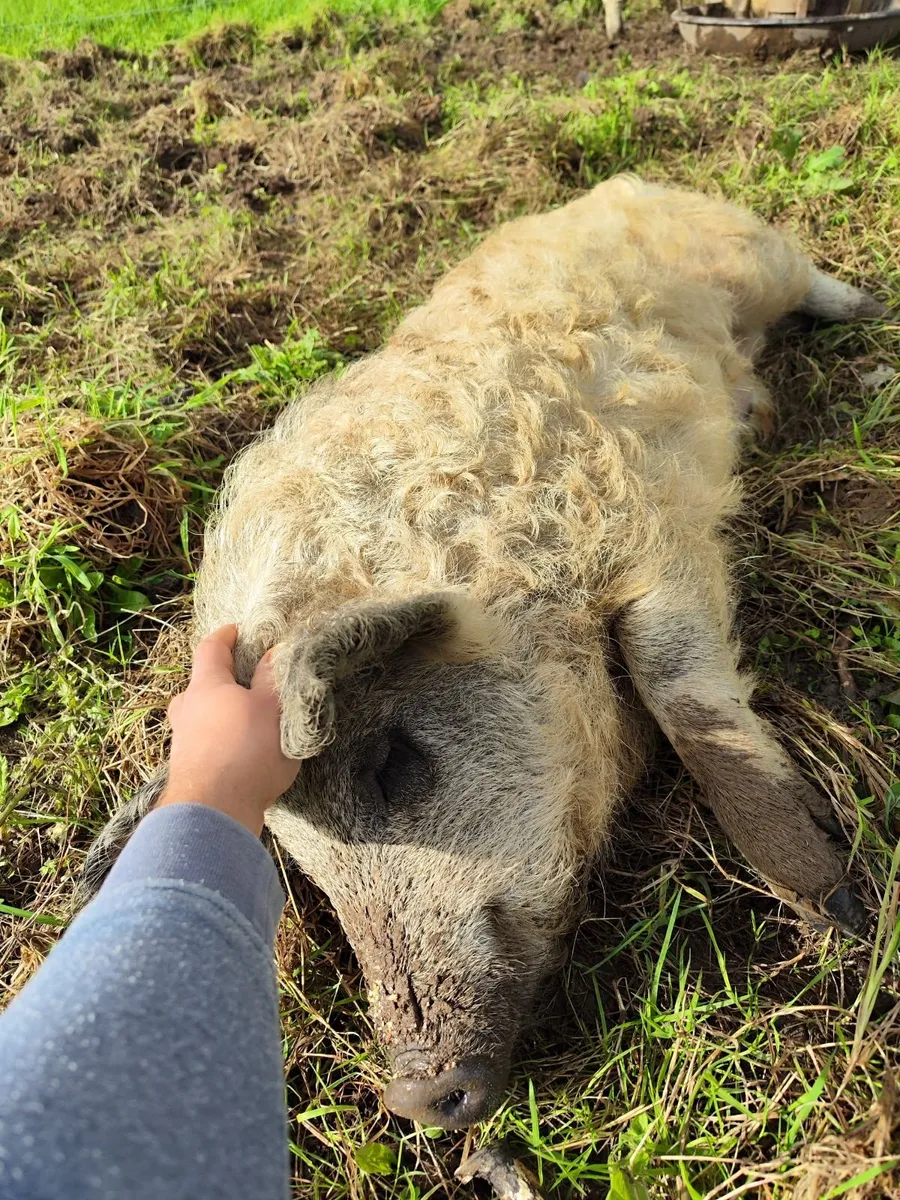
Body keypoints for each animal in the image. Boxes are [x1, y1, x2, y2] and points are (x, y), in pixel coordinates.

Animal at [78, 175, 880, 1130]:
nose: (418, 1094)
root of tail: (617, 187)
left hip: (751, 253)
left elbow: (686, 698)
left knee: (805, 273)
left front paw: (842, 918)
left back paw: (866, 315)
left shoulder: (649, 536)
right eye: (301, 859)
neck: (481, 564)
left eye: (391, 763)